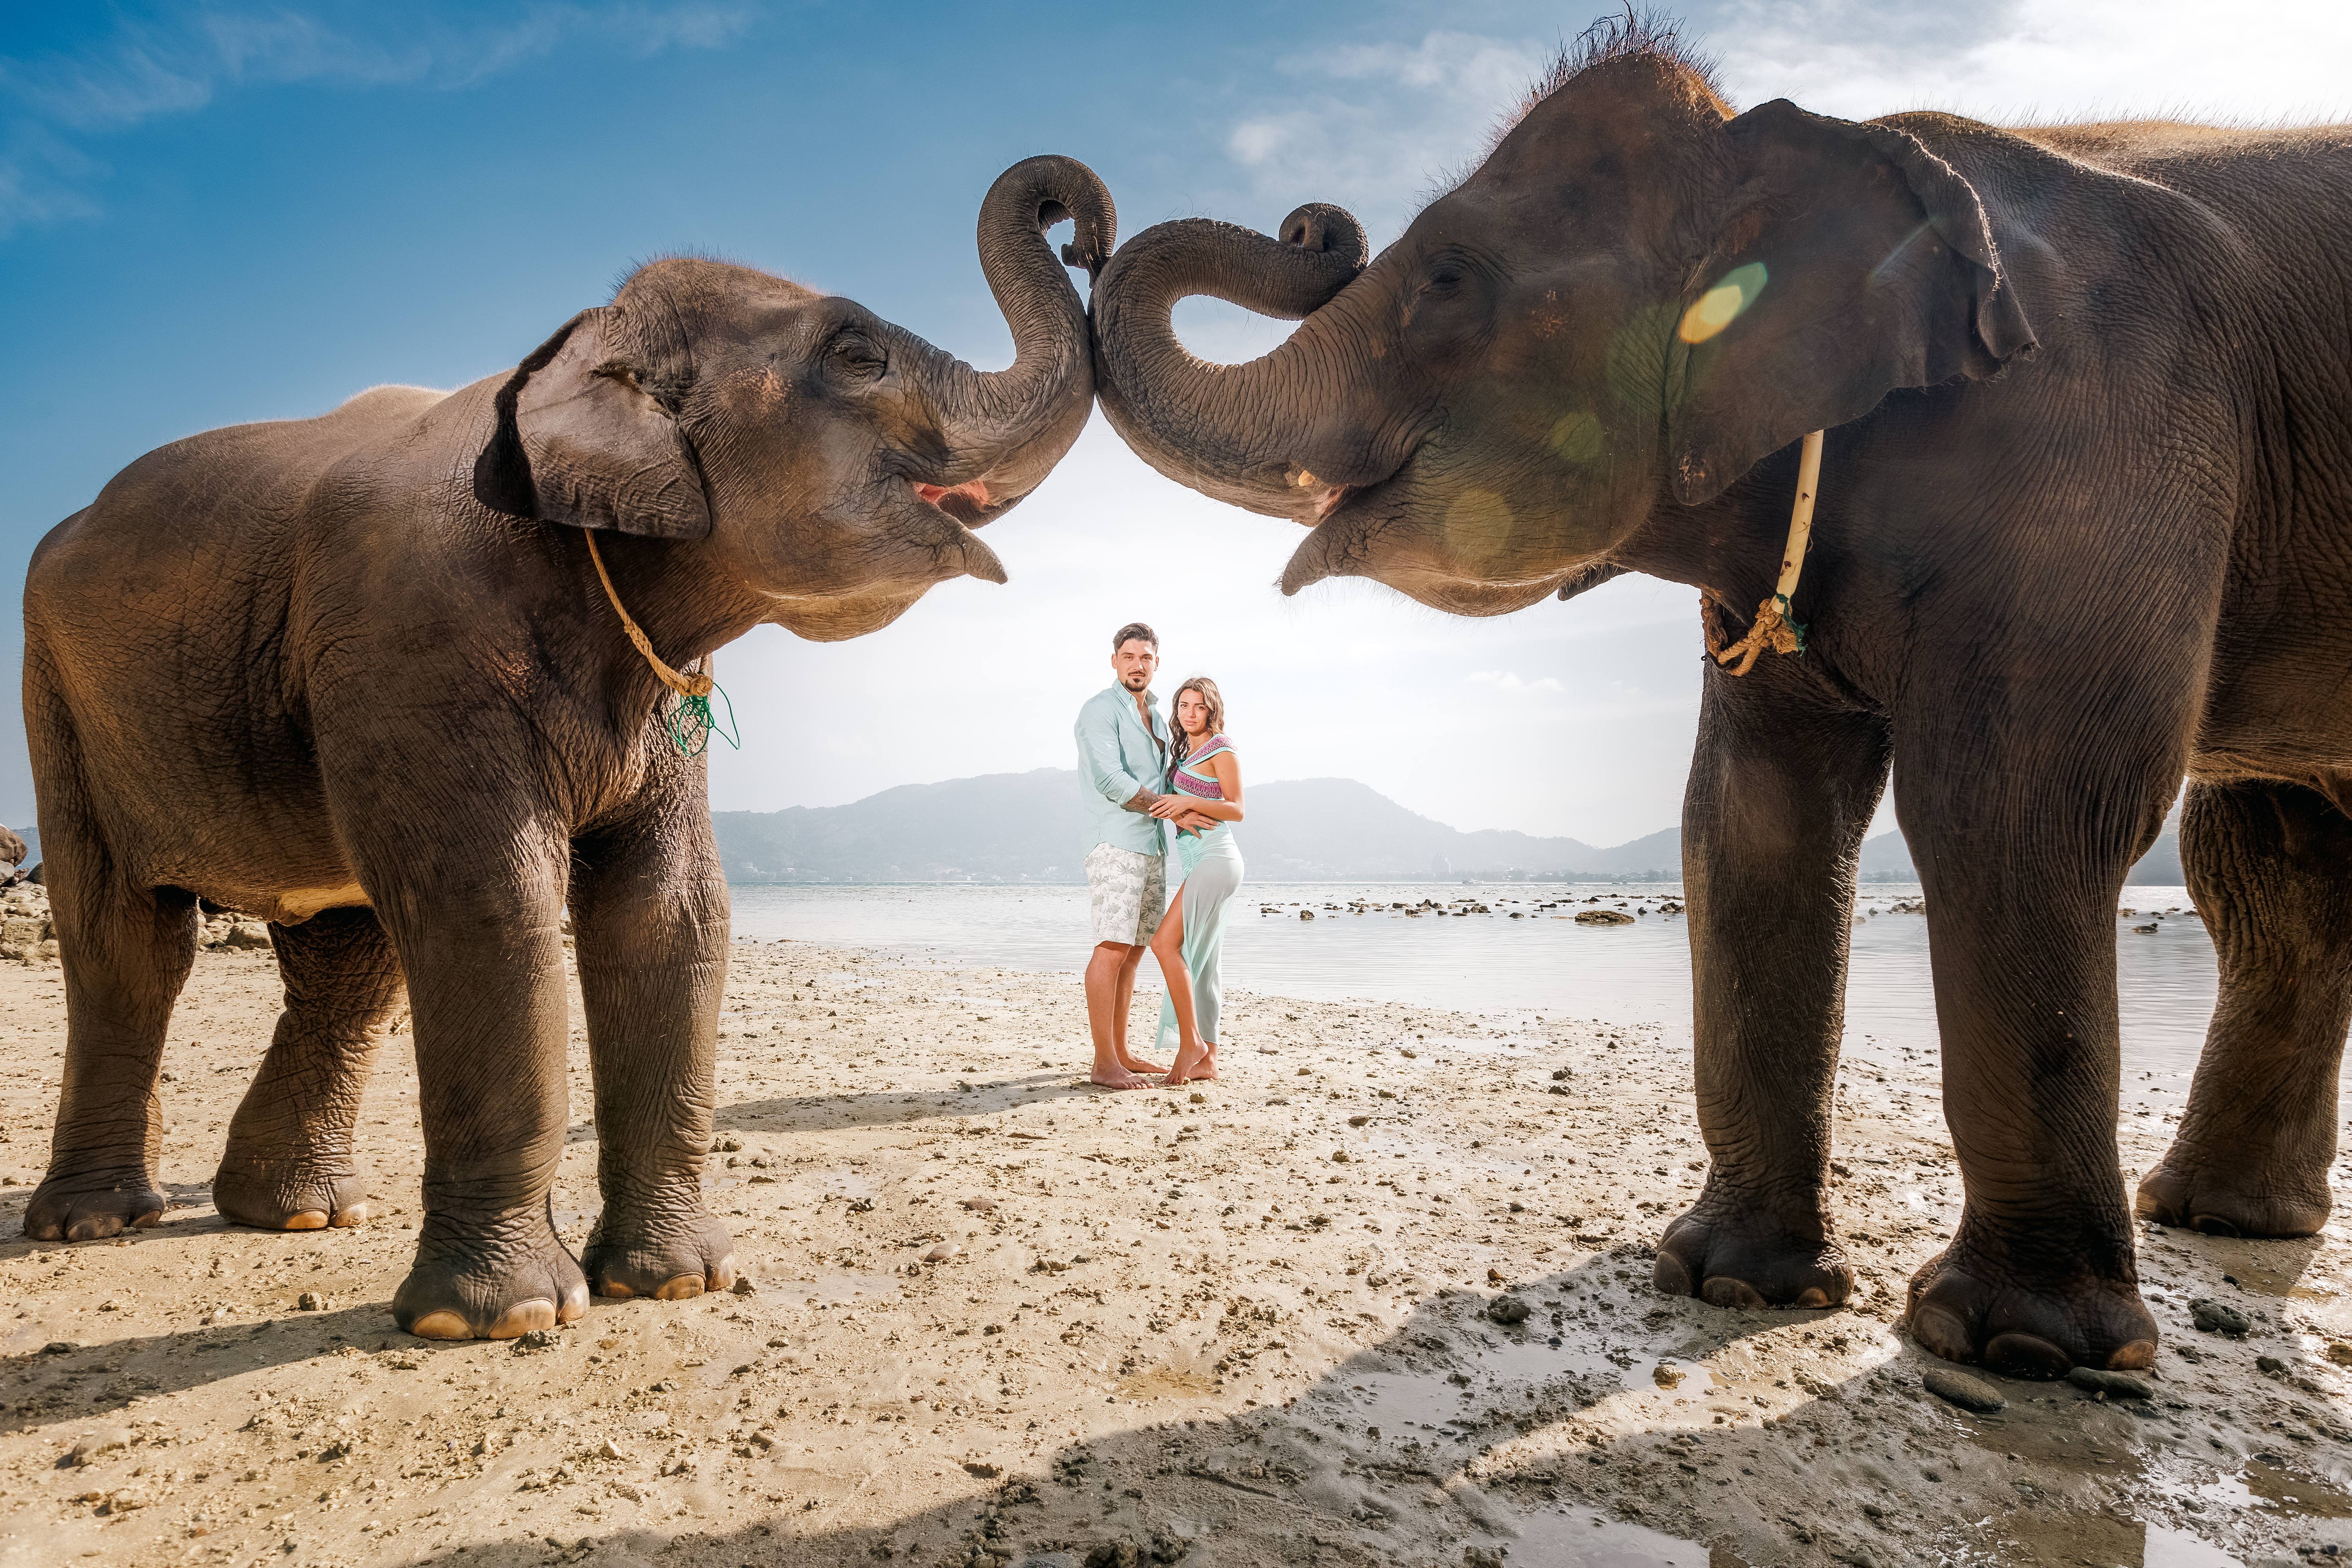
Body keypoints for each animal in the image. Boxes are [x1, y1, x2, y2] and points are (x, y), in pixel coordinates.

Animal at [22, 154, 1115, 1340]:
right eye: (857, 354)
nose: (1084, 231)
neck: (561, 356)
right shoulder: (420, 642)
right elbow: (496, 902)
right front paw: (505, 1318)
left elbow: (670, 910)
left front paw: (677, 1282)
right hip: (59, 698)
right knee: (129, 938)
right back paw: (93, 1223)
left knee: (345, 955)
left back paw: (304, 1214)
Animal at [1089, 15, 2352, 1374]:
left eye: (1448, 280)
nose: (1314, 224)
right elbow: (1750, 817)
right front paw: (1735, 1282)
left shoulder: (2096, 451)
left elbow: (2014, 814)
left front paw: (2015, 1346)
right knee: (2267, 865)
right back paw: (2217, 1213)